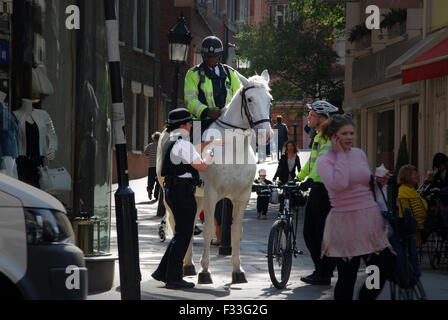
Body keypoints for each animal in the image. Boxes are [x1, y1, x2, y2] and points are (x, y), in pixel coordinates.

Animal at [156, 70, 272, 284]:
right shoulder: (212, 195)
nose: (266, 134)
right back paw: (186, 267)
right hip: (175, 195)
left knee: (190, 223)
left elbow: (236, 232)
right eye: (250, 99)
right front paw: (205, 271)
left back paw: (188, 264)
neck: (234, 150)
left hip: (196, 197)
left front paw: (238, 270)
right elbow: (209, 230)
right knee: (178, 224)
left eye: (269, 99)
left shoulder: (242, 196)